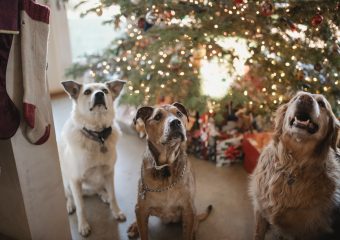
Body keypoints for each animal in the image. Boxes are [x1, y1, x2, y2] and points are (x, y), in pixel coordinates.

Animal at [59, 79, 127, 236]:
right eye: (87, 92)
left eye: (105, 90)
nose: (100, 94)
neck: (98, 136)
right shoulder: (75, 180)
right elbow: (81, 207)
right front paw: (83, 225)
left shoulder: (109, 173)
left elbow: (113, 195)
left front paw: (116, 211)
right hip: (67, 181)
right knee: (69, 195)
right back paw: (70, 205)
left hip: (101, 179)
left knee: (99, 190)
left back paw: (104, 195)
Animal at [127, 103, 212, 240]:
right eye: (157, 117)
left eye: (179, 113)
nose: (176, 122)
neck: (166, 167)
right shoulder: (142, 208)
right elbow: (144, 233)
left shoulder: (189, 210)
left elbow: (187, 234)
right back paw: (134, 227)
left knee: (195, 226)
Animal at [248, 91, 338, 239]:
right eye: (295, 98)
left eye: (322, 103)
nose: (305, 98)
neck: (292, 165)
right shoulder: (260, 211)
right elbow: (257, 234)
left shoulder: (307, 229)